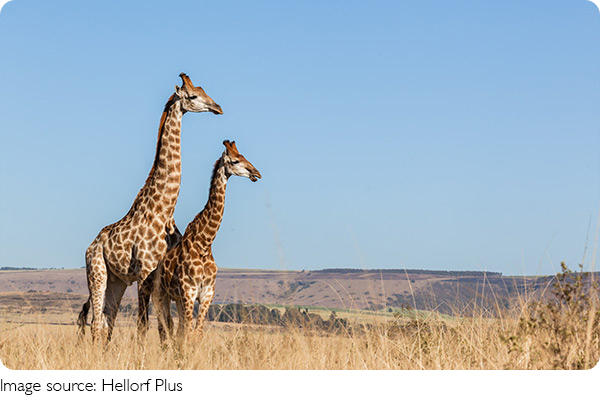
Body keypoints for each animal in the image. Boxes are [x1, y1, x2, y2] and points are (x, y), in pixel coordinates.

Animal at [77, 73, 223, 343]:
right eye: (193, 96)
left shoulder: (160, 278)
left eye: (204, 90)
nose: (217, 107)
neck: (163, 210)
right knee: (96, 322)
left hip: (117, 281)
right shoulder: (145, 273)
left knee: (108, 320)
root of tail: (91, 245)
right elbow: (144, 325)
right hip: (97, 272)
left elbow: (167, 327)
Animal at [152, 140, 261, 343]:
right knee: (165, 329)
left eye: (244, 156)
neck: (204, 244)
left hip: (177, 299)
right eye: (235, 161)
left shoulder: (206, 295)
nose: (256, 173)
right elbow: (188, 333)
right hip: (161, 296)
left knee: (176, 329)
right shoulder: (189, 292)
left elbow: (197, 333)